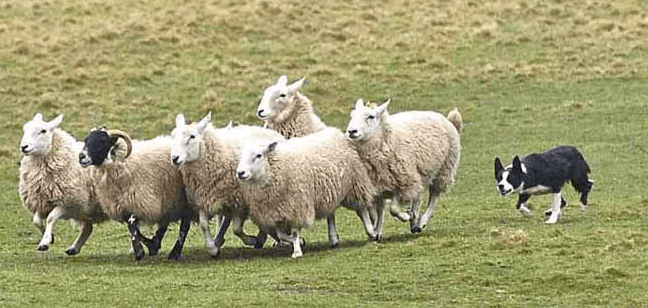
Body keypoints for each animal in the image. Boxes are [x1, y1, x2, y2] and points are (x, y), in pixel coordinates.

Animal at [18, 113, 107, 255]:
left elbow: (50, 218)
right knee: (88, 228)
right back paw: (74, 248)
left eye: (43, 131)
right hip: (85, 210)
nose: (24, 147)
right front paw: (49, 236)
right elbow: (36, 221)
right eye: (25, 129)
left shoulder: (69, 202)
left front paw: (45, 242)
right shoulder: (42, 202)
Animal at [170, 112, 284, 256]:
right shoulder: (203, 198)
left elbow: (236, 229)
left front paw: (252, 240)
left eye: (192, 136)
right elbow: (204, 224)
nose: (174, 158)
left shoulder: (239, 201)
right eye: (173, 136)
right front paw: (213, 248)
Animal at [235, 126, 378, 258]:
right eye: (240, 157)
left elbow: (294, 232)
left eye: (258, 155)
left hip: (355, 184)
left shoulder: (297, 206)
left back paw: (371, 231)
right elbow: (281, 235)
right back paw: (333, 238)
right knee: (330, 213)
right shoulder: (276, 211)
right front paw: (298, 242)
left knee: (362, 209)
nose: (240, 173)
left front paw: (297, 251)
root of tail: (334, 130)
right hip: (328, 191)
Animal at [346, 99, 464, 238]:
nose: (351, 131)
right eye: (352, 116)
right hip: (420, 173)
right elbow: (380, 211)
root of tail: (449, 120)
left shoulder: (404, 182)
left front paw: (405, 216)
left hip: (444, 168)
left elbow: (393, 209)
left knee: (434, 196)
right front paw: (377, 232)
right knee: (418, 197)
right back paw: (414, 222)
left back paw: (421, 221)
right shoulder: (378, 186)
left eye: (371, 116)